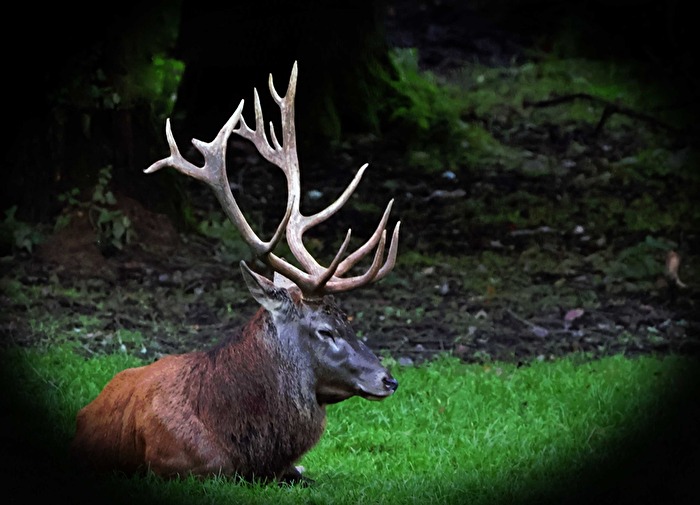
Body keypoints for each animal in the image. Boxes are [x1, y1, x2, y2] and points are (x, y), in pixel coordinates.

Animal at [70, 62, 400, 484]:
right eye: (325, 331)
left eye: (349, 319)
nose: (389, 379)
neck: (249, 449)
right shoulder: (175, 464)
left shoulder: (289, 468)